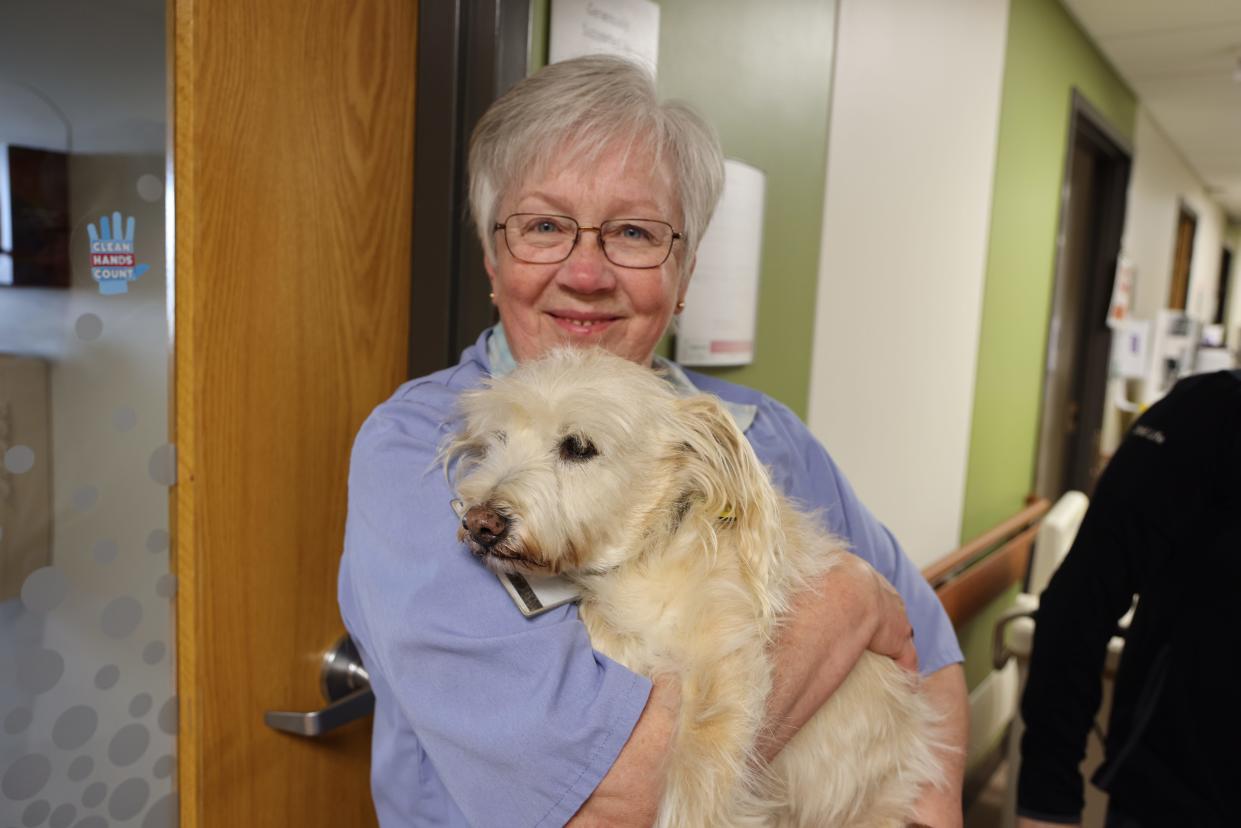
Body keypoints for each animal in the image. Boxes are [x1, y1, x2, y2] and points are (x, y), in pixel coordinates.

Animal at [446, 350, 938, 828]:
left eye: (579, 447)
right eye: (498, 440)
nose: (479, 522)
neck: (645, 557)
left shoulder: (725, 663)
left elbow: (698, 768)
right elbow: (604, 621)